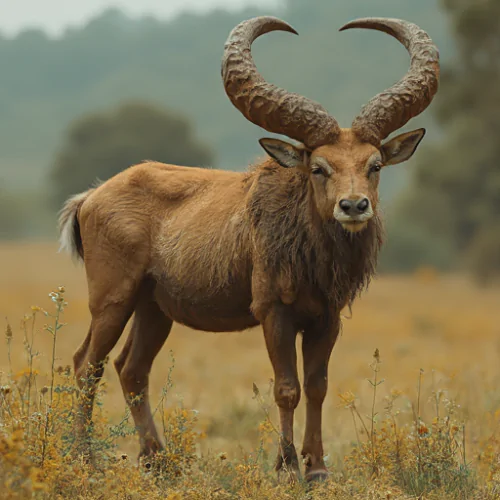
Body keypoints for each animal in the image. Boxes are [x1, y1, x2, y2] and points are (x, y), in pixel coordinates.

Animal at [60, 17, 440, 482]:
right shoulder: (273, 312)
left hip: (154, 308)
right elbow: (287, 388)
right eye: (319, 167)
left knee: (131, 369)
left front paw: (317, 469)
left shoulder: (327, 319)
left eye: (375, 165)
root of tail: (90, 198)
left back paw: (157, 460)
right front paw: (287, 466)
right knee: (87, 365)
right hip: (113, 299)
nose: (353, 206)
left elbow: (318, 386)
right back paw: (86, 458)